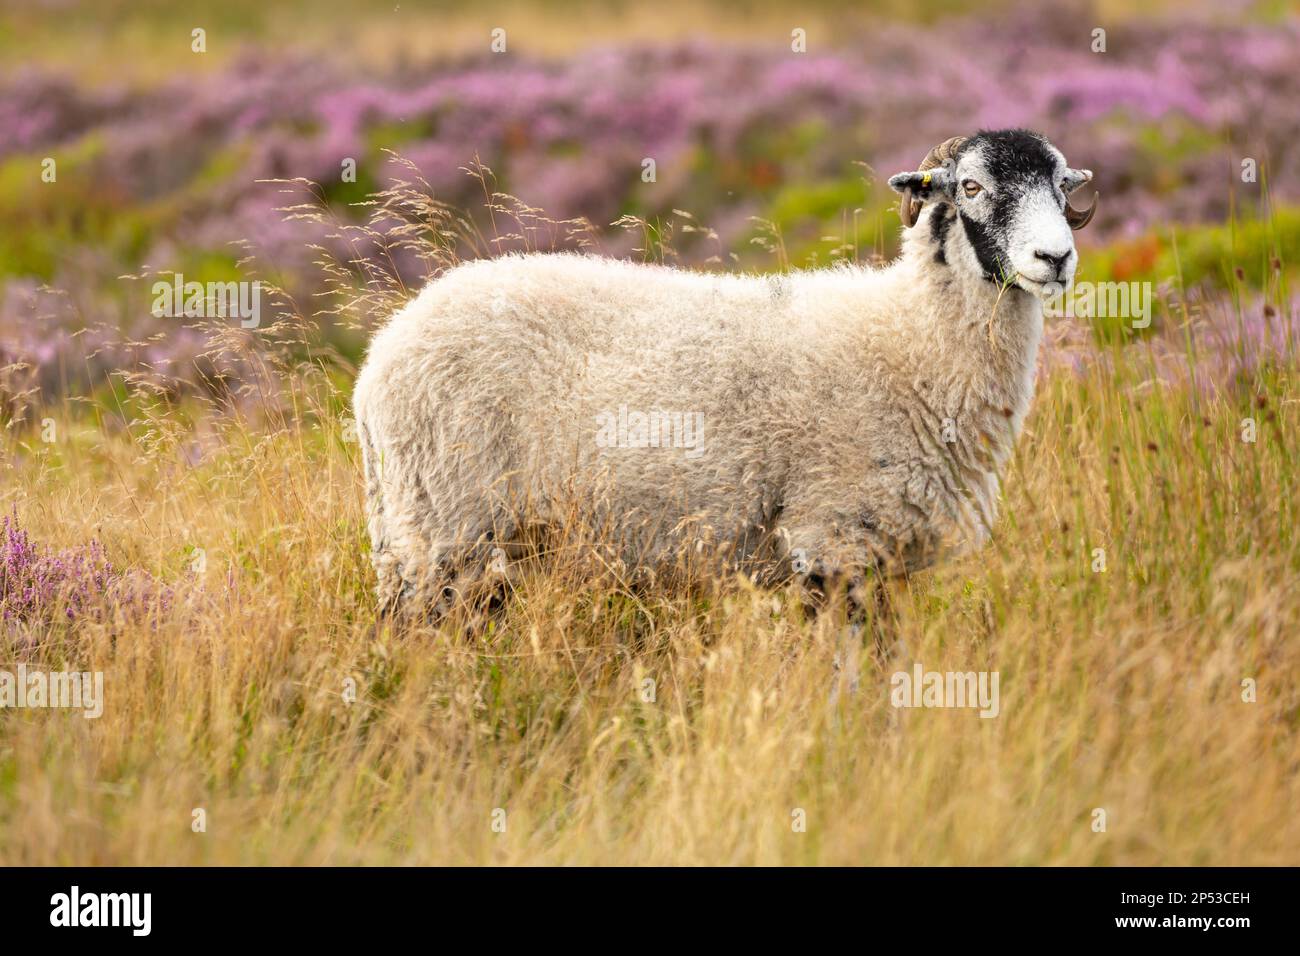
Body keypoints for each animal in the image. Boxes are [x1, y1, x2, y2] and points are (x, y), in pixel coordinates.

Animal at [353, 128, 1098, 616]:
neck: (908, 338)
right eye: (971, 187)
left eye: (1061, 186)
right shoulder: (830, 537)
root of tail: (377, 361)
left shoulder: (880, 557)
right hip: (444, 523)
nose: (1055, 258)